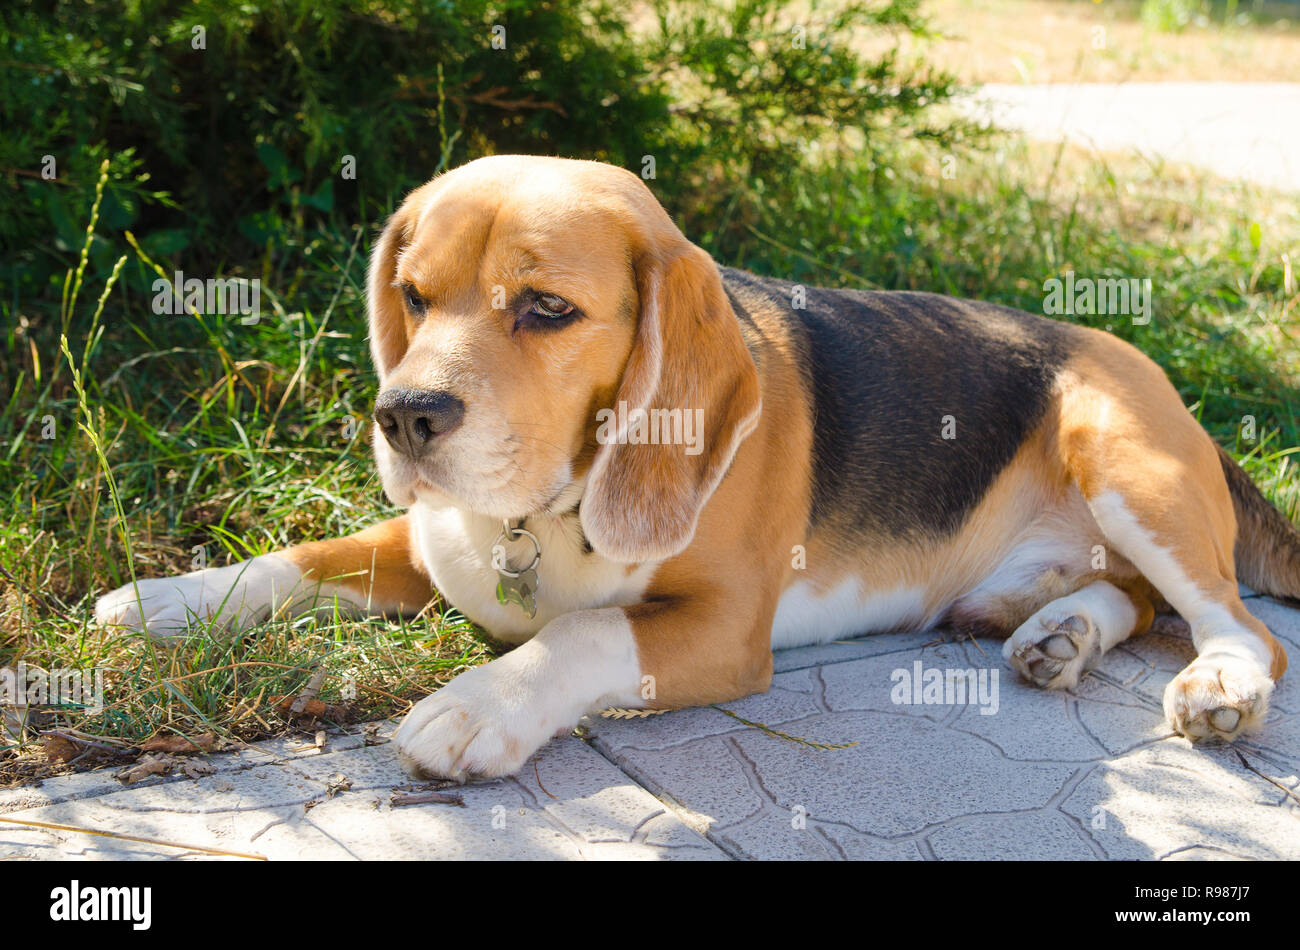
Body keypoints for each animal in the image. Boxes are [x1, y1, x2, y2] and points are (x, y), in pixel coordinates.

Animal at [96, 154, 1294, 779]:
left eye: (547, 310)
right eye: (413, 295)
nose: (404, 415)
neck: (546, 513)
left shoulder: (723, 628)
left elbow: (583, 633)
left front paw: (480, 701)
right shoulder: (431, 542)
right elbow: (301, 557)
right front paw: (167, 600)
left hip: (1121, 459)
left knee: (1239, 625)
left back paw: (1218, 686)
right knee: (1136, 600)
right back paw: (1062, 633)